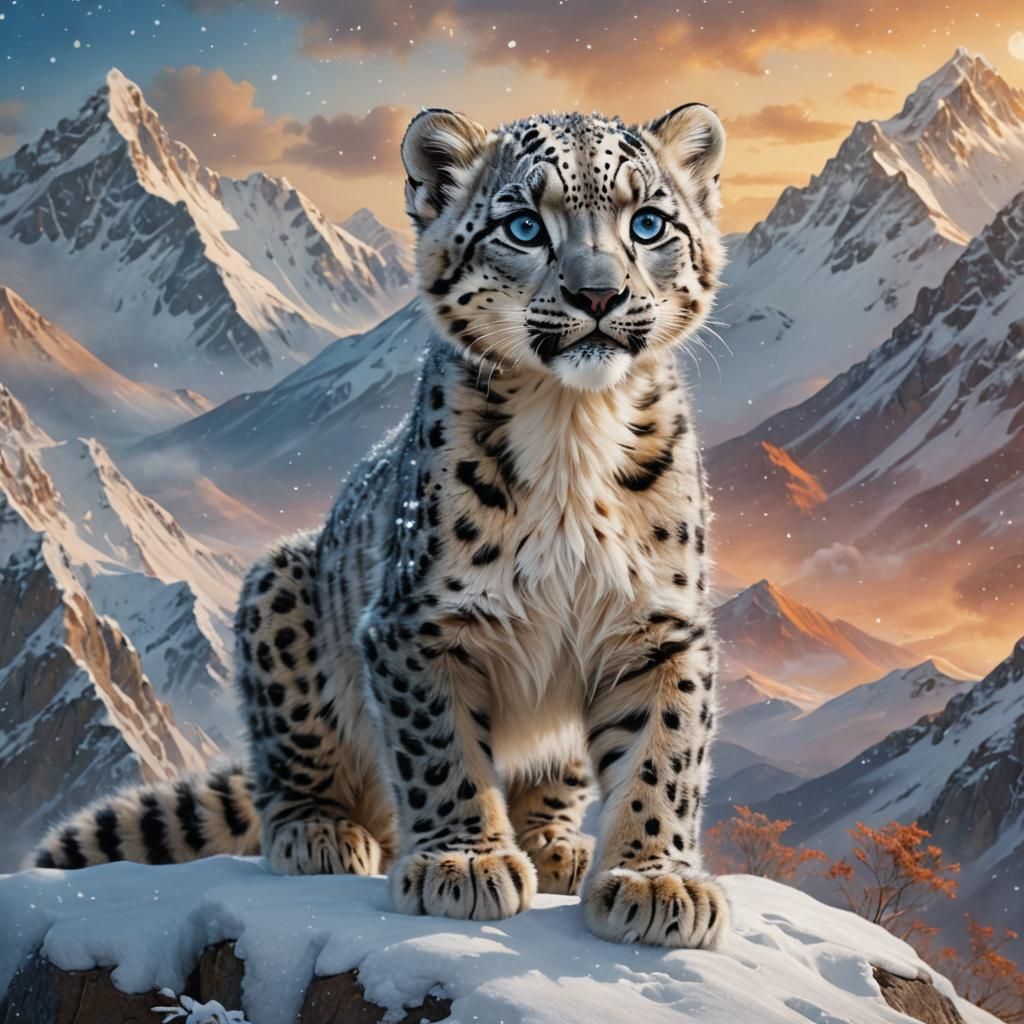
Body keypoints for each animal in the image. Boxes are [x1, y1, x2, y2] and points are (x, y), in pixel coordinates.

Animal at [33, 101, 729, 949]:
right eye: (524, 226)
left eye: (650, 222)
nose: (598, 295)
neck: (574, 426)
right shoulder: (418, 623)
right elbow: (441, 750)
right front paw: (464, 862)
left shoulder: (658, 625)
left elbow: (664, 755)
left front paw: (656, 879)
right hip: (280, 595)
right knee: (290, 773)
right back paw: (323, 834)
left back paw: (555, 845)